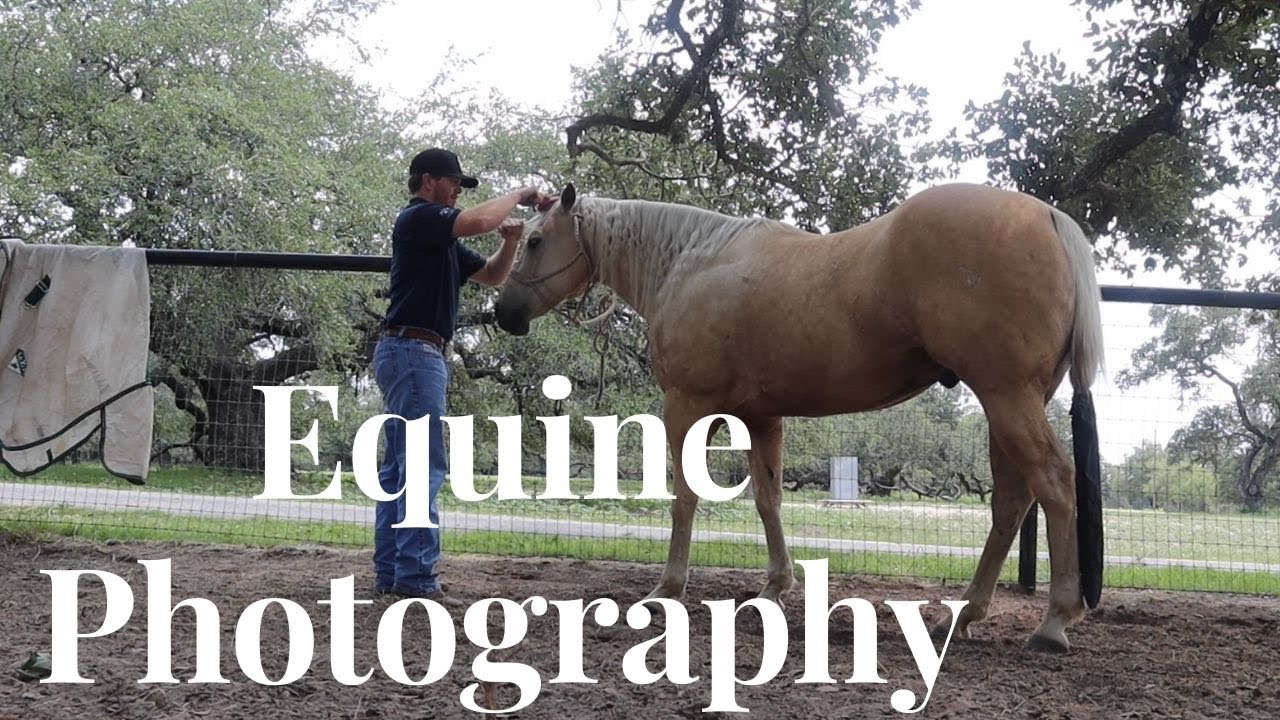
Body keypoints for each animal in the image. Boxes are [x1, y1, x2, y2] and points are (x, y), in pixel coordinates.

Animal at [493, 182, 1104, 652]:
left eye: (535, 240)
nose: (503, 313)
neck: (689, 262)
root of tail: (1046, 216)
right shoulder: (760, 418)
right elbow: (768, 500)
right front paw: (774, 587)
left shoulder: (688, 407)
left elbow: (685, 499)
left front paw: (667, 588)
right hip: (1007, 404)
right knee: (1011, 501)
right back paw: (965, 615)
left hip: (1007, 397)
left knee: (1053, 484)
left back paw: (1054, 621)